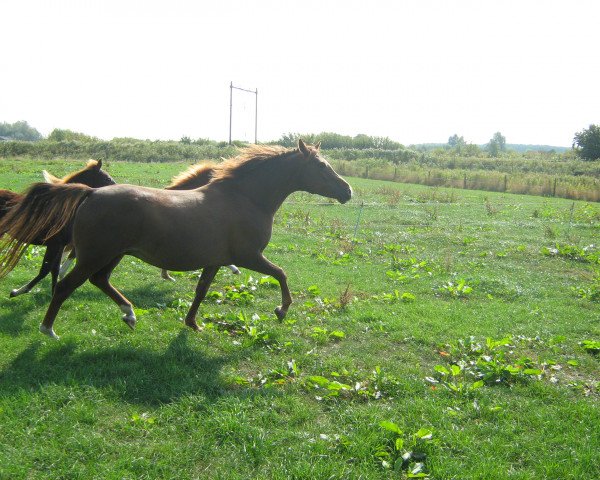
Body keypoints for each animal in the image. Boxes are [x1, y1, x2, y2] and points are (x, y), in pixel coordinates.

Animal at [0, 159, 115, 298]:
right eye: (108, 179)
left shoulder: (59, 246)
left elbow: (53, 270)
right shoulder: (54, 244)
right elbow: (45, 270)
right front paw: (18, 291)